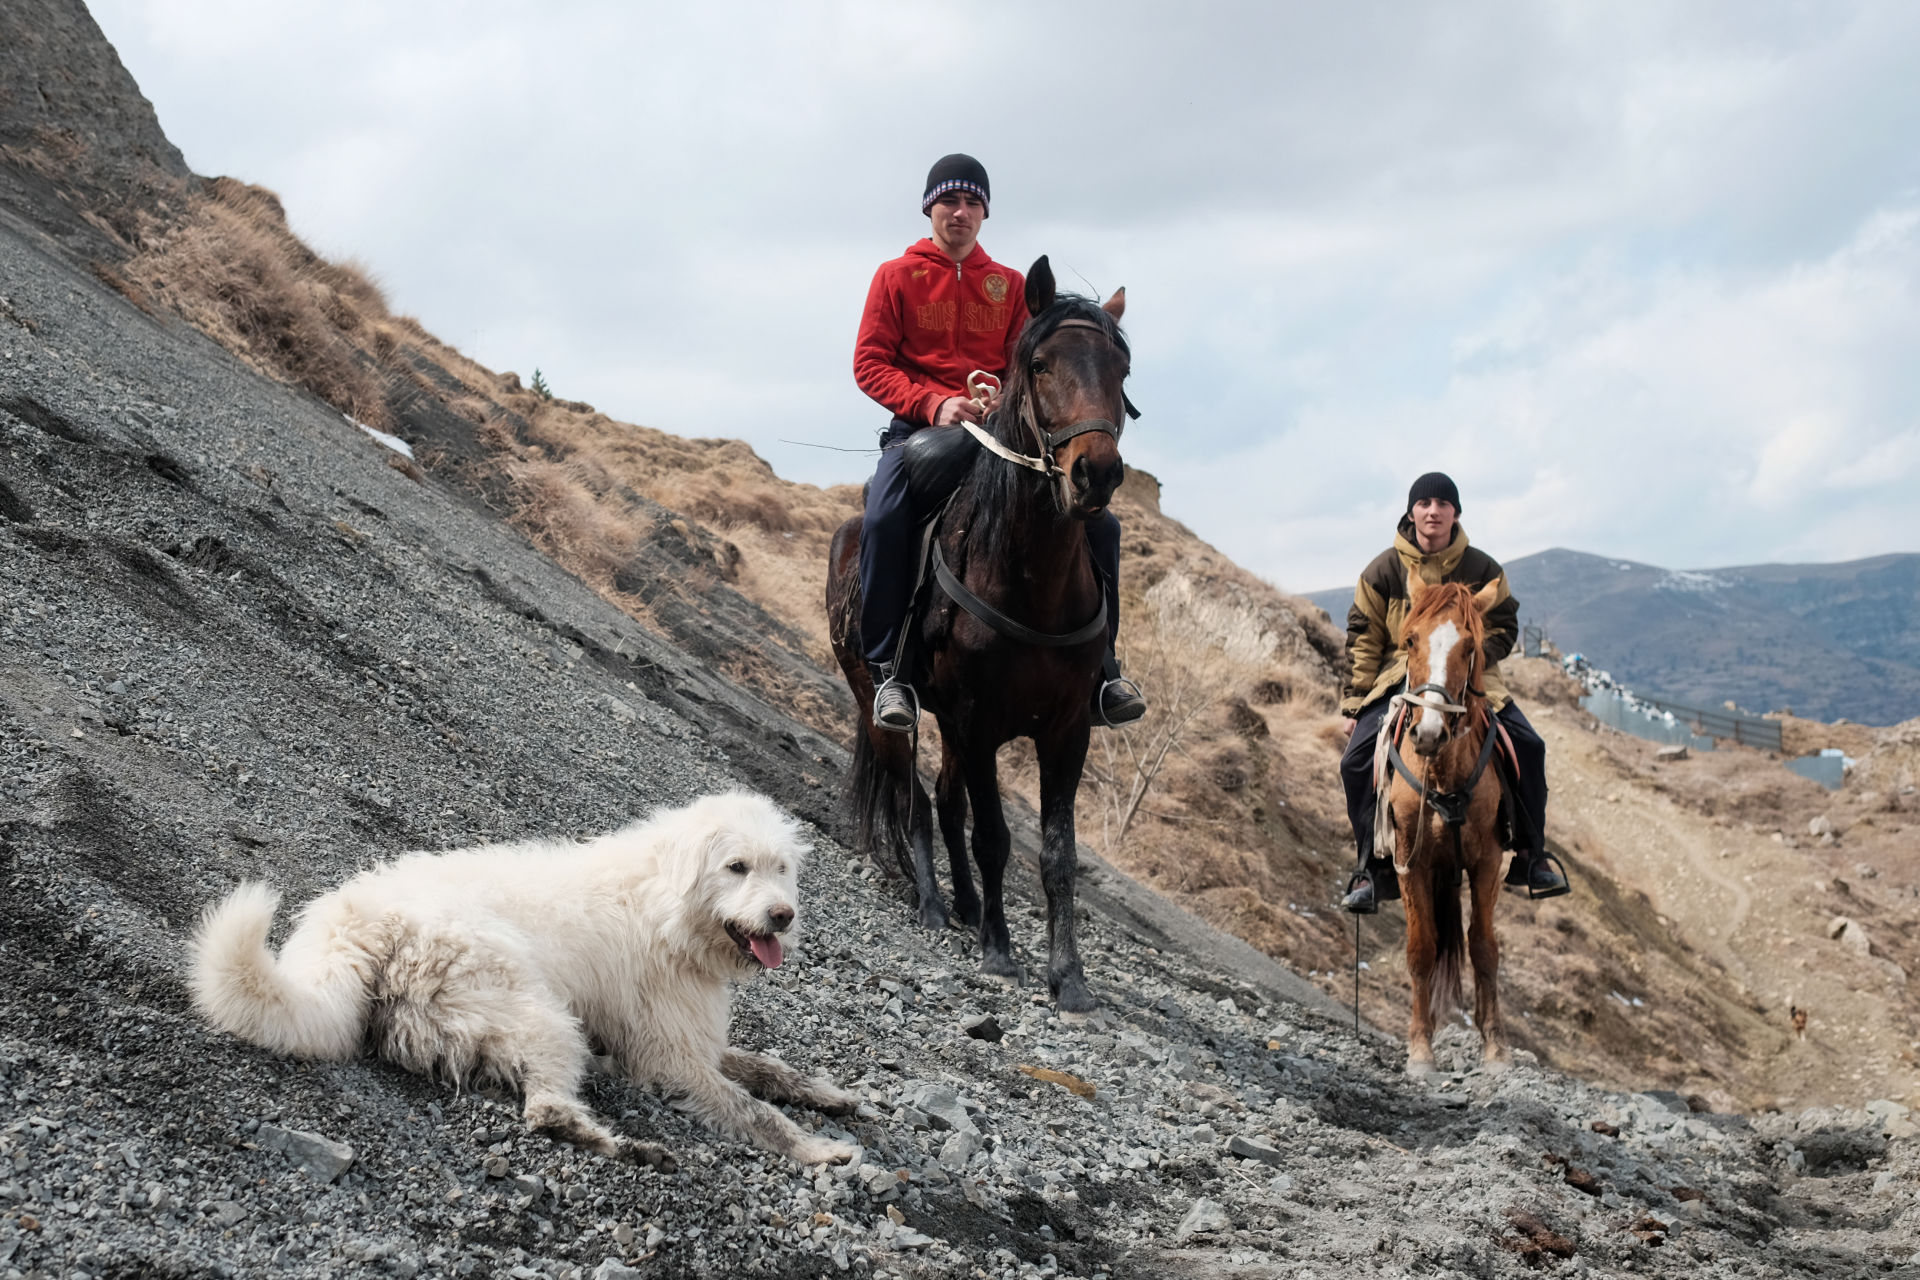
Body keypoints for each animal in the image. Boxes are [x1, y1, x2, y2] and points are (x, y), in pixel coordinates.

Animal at [189, 790, 864, 1174]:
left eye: (781, 867)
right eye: (736, 867)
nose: (783, 915)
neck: (667, 906)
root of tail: (357, 925)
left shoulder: (679, 1037)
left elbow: (766, 1068)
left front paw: (829, 1094)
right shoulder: (670, 1056)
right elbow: (752, 1108)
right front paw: (818, 1150)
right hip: (540, 1016)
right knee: (545, 1111)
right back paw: (626, 1147)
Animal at [821, 257, 1121, 1013]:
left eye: (1122, 368)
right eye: (1039, 364)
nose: (1096, 473)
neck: (1031, 579)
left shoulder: (1066, 729)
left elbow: (1056, 853)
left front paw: (1068, 976)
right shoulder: (979, 721)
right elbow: (993, 837)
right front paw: (999, 952)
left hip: (954, 731)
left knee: (947, 800)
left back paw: (962, 902)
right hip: (885, 703)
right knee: (916, 803)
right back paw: (933, 903)